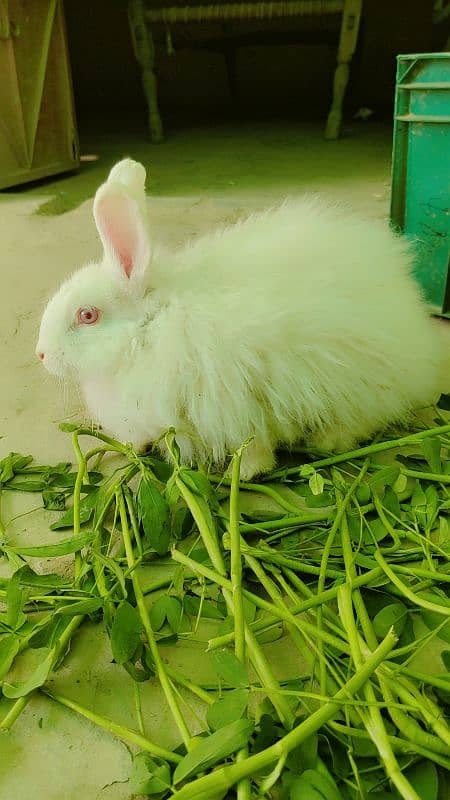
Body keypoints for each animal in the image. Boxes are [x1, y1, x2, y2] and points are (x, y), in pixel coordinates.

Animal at [37, 159, 446, 478]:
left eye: (87, 315)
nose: (41, 354)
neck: (150, 329)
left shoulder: (233, 408)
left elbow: (252, 446)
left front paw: (248, 472)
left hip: (358, 384)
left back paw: (326, 442)